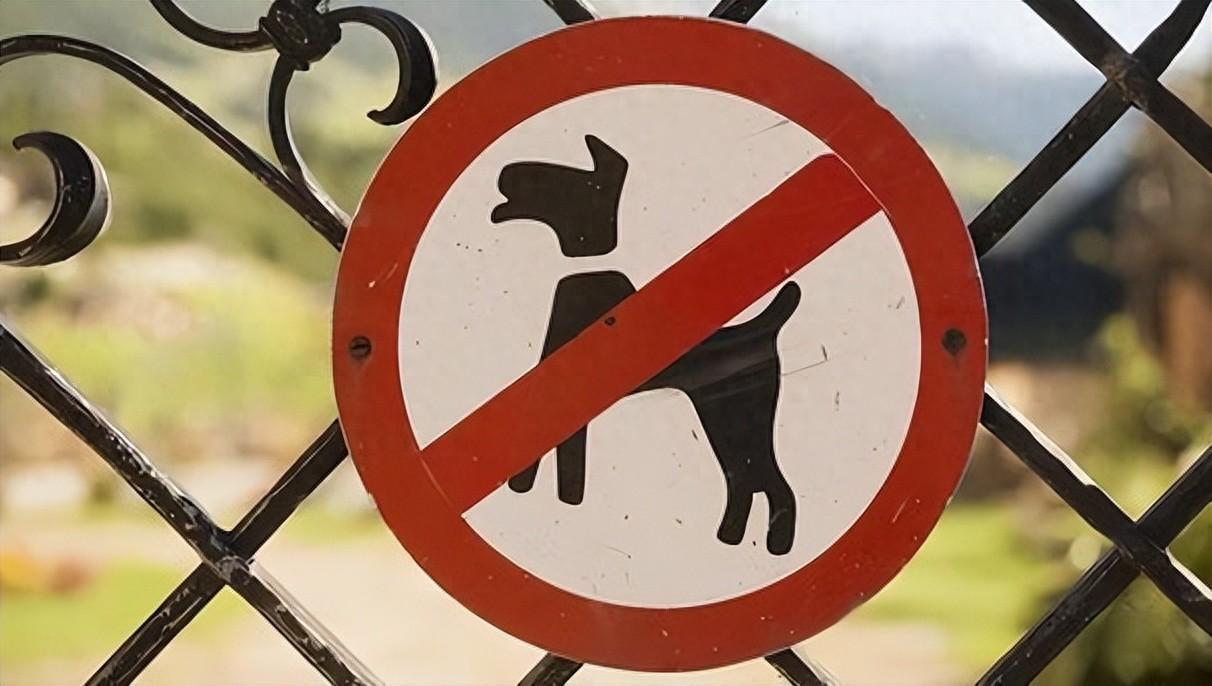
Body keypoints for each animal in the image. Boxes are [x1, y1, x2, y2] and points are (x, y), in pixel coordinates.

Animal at [491, 135, 800, 555]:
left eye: (565, 176)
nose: (504, 175)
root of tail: (765, 327)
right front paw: (567, 497)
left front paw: (531, 489)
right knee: (749, 480)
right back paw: (734, 536)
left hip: (732, 413)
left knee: (766, 481)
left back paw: (770, 544)